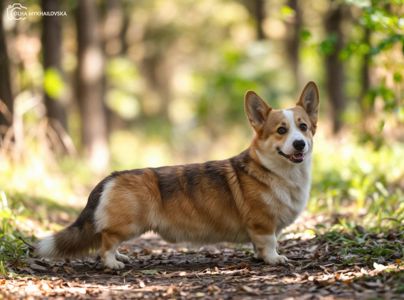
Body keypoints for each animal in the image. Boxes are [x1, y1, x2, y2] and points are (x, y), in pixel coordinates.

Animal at [39, 81, 320, 270]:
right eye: (281, 130)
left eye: (303, 127)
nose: (299, 144)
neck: (277, 171)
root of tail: (112, 177)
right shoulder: (263, 224)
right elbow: (270, 243)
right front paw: (274, 259)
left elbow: (259, 246)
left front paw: (260, 258)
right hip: (128, 225)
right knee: (106, 242)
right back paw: (113, 263)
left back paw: (120, 257)